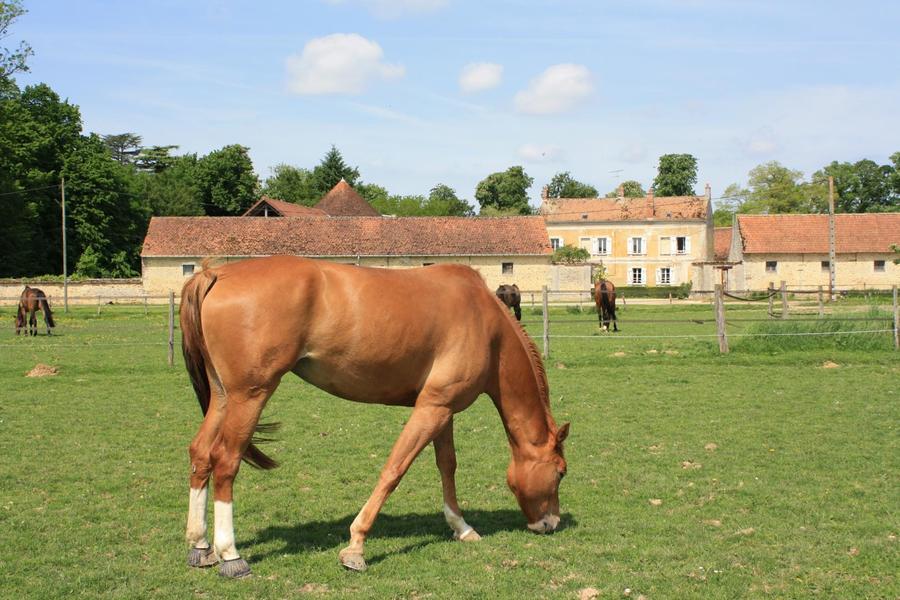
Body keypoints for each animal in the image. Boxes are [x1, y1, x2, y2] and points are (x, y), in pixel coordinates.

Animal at [178, 256, 568, 576]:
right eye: (561, 472)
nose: (551, 524)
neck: (487, 326)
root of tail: (215, 273)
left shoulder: (443, 410)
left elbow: (447, 465)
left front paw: (462, 527)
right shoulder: (431, 410)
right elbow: (394, 470)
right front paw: (356, 547)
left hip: (223, 398)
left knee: (201, 454)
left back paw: (200, 545)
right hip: (249, 397)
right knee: (225, 461)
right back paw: (230, 554)